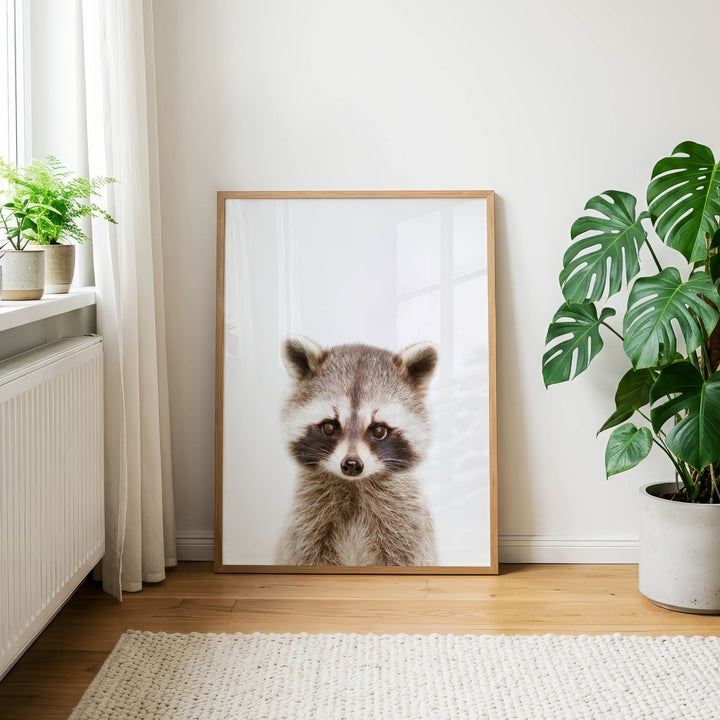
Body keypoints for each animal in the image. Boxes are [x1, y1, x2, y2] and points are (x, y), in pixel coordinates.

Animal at [276, 336, 439, 567]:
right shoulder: (306, 523)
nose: (352, 465)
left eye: (379, 430)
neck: (354, 485)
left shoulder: (406, 524)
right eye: (329, 427)